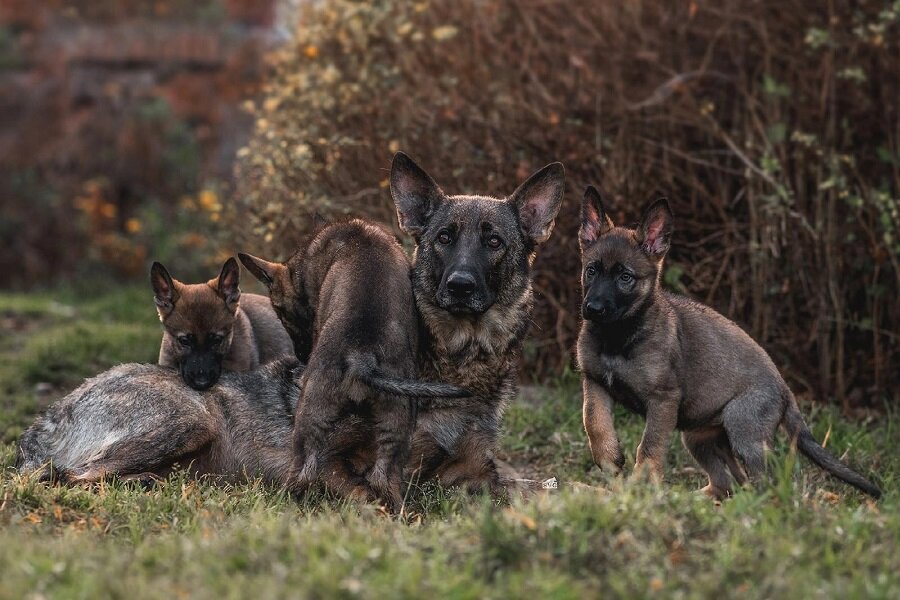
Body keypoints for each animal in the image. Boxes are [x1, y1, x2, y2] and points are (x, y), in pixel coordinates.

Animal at [239, 219, 474, 510]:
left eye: (280, 311)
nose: (303, 355)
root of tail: (361, 359)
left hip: (309, 416)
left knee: (303, 470)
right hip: (396, 425)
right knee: (384, 479)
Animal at [576, 185, 880, 500]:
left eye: (625, 277)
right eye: (591, 270)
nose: (593, 308)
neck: (617, 337)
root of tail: (785, 388)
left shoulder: (663, 400)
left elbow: (649, 446)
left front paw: (640, 488)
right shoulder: (595, 381)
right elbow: (593, 421)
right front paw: (609, 459)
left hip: (743, 430)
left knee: (766, 482)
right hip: (698, 437)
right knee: (728, 482)